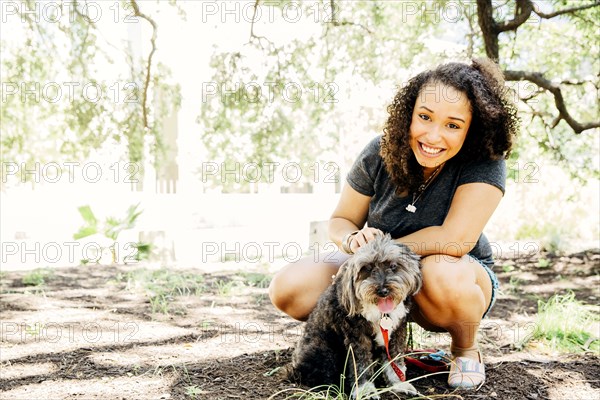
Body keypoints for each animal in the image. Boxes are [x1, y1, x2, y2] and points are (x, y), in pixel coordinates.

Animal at [290, 234, 422, 396]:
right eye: (367, 268)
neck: (380, 311)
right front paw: (365, 390)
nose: (383, 291)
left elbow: (395, 359)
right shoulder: (357, 337)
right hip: (324, 350)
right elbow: (361, 364)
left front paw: (399, 383)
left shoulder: (396, 332)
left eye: (393, 266)